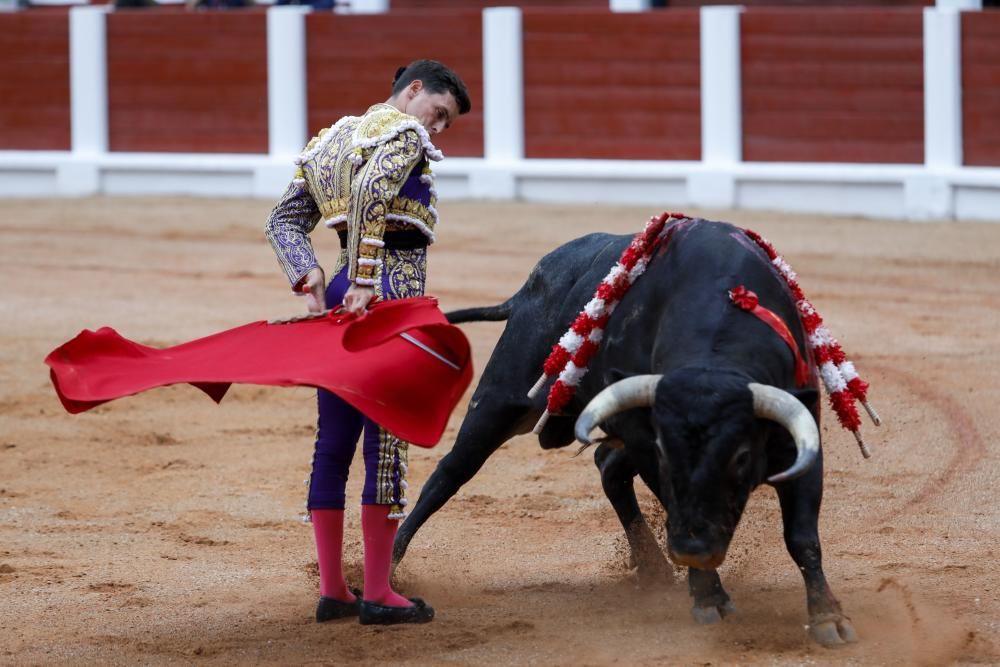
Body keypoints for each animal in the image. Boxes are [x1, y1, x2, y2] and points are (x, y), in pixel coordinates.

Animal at [394, 219, 856, 648]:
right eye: (667, 452)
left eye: (742, 456)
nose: (694, 551)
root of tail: (527, 290)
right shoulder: (649, 446)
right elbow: (673, 505)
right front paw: (709, 596)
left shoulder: (800, 441)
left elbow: (801, 537)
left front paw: (828, 617)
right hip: (500, 401)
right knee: (449, 473)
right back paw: (392, 570)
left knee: (609, 468)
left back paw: (652, 566)